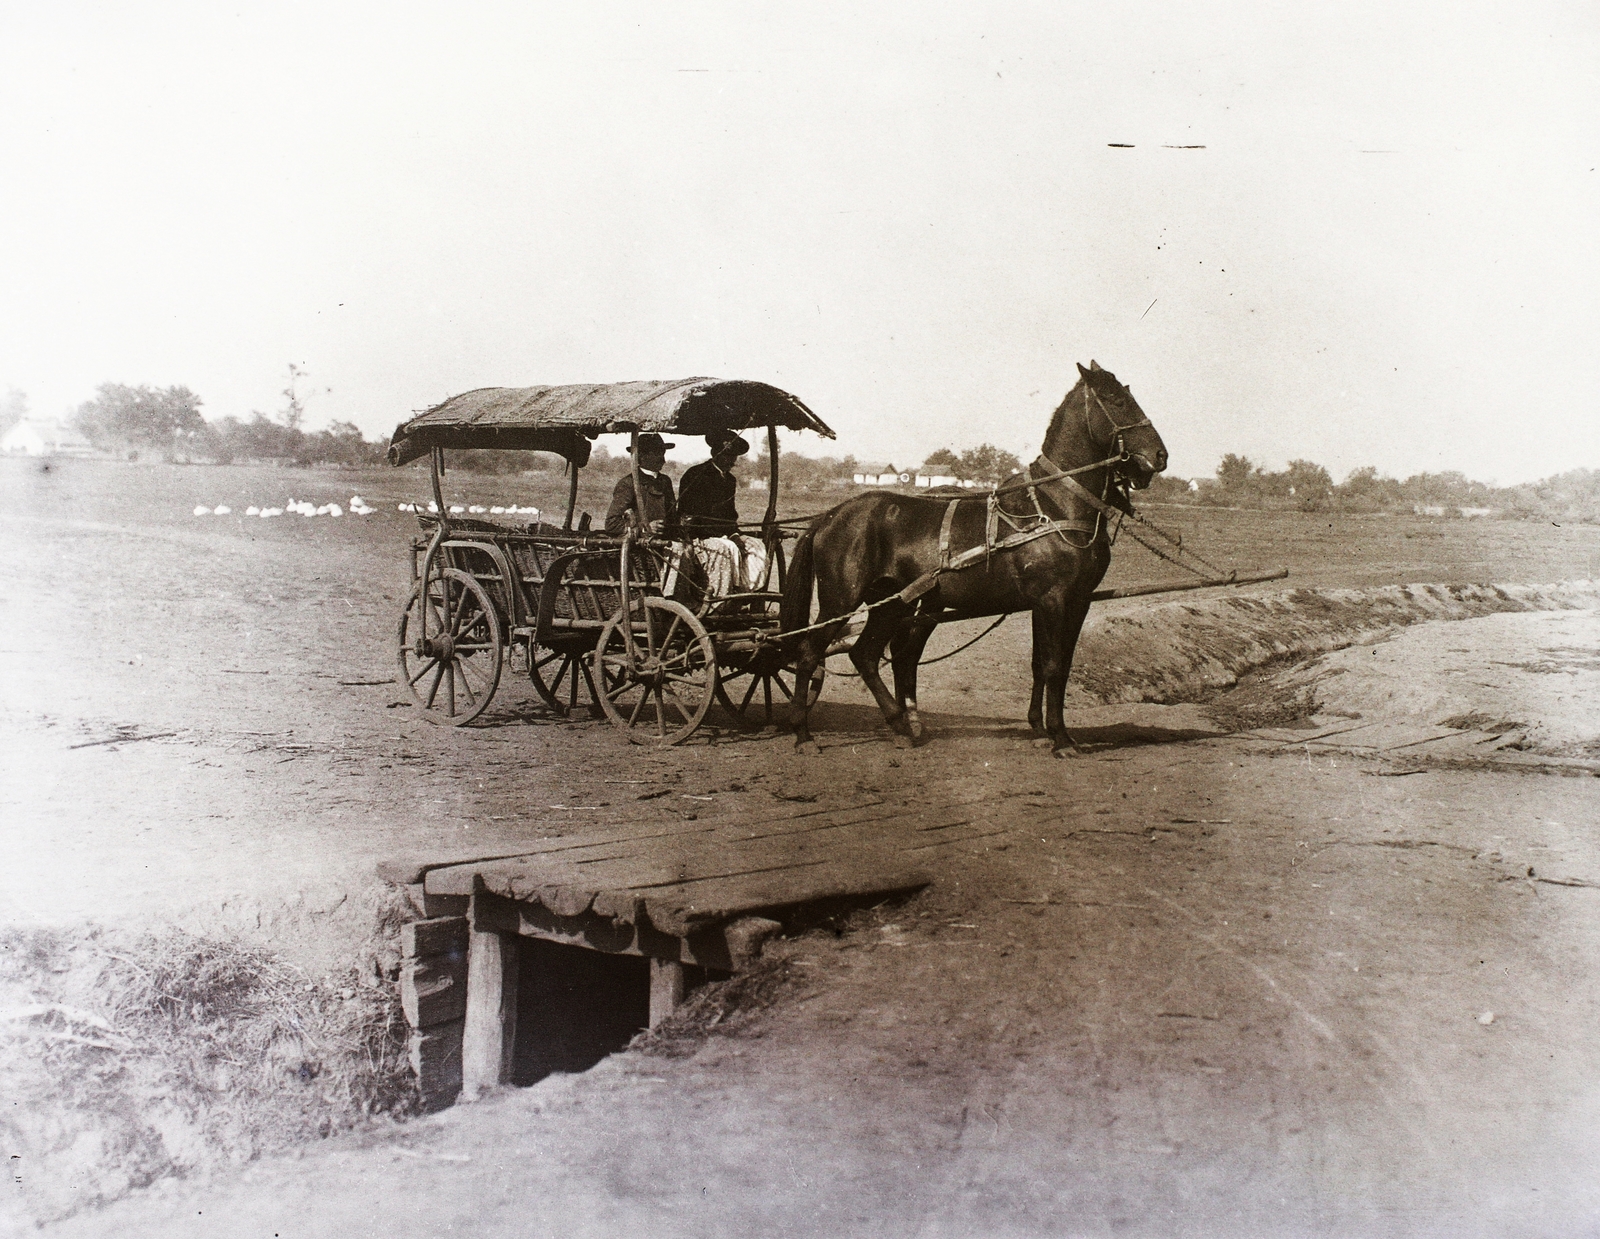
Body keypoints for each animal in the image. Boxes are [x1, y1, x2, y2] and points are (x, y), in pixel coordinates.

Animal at [780, 361, 1171, 755]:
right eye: (1116, 400)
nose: (1160, 456)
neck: (1055, 504)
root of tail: (831, 515)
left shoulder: (1074, 600)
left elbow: (1046, 665)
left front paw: (1041, 728)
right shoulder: (1054, 599)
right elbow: (1054, 666)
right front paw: (1060, 738)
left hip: (892, 603)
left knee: (865, 655)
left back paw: (901, 725)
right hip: (841, 600)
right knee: (810, 652)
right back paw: (803, 733)